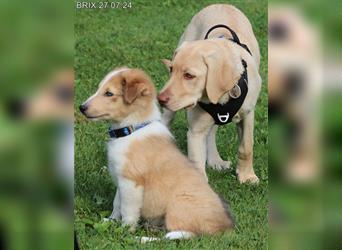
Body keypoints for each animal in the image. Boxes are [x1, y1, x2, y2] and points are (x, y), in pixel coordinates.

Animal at [79, 68, 234, 240]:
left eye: (109, 93)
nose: (81, 107)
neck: (131, 129)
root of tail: (224, 228)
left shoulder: (131, 181)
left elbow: (127, 209)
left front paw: (125, 230)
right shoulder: (121, 179)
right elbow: (117, 203)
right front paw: (111, 220)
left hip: (178, 205)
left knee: (186, 234)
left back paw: (145, 238)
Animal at [158, 4, 262, 184]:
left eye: (189, 75)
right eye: (172, 70)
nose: (160, 98)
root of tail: (220, 4)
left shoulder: (248, 114)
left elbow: (246, 147)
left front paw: (247, 176)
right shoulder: (196, 131)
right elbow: (196, 164)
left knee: (212, 133)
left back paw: (215, 161)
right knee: (167, 120)